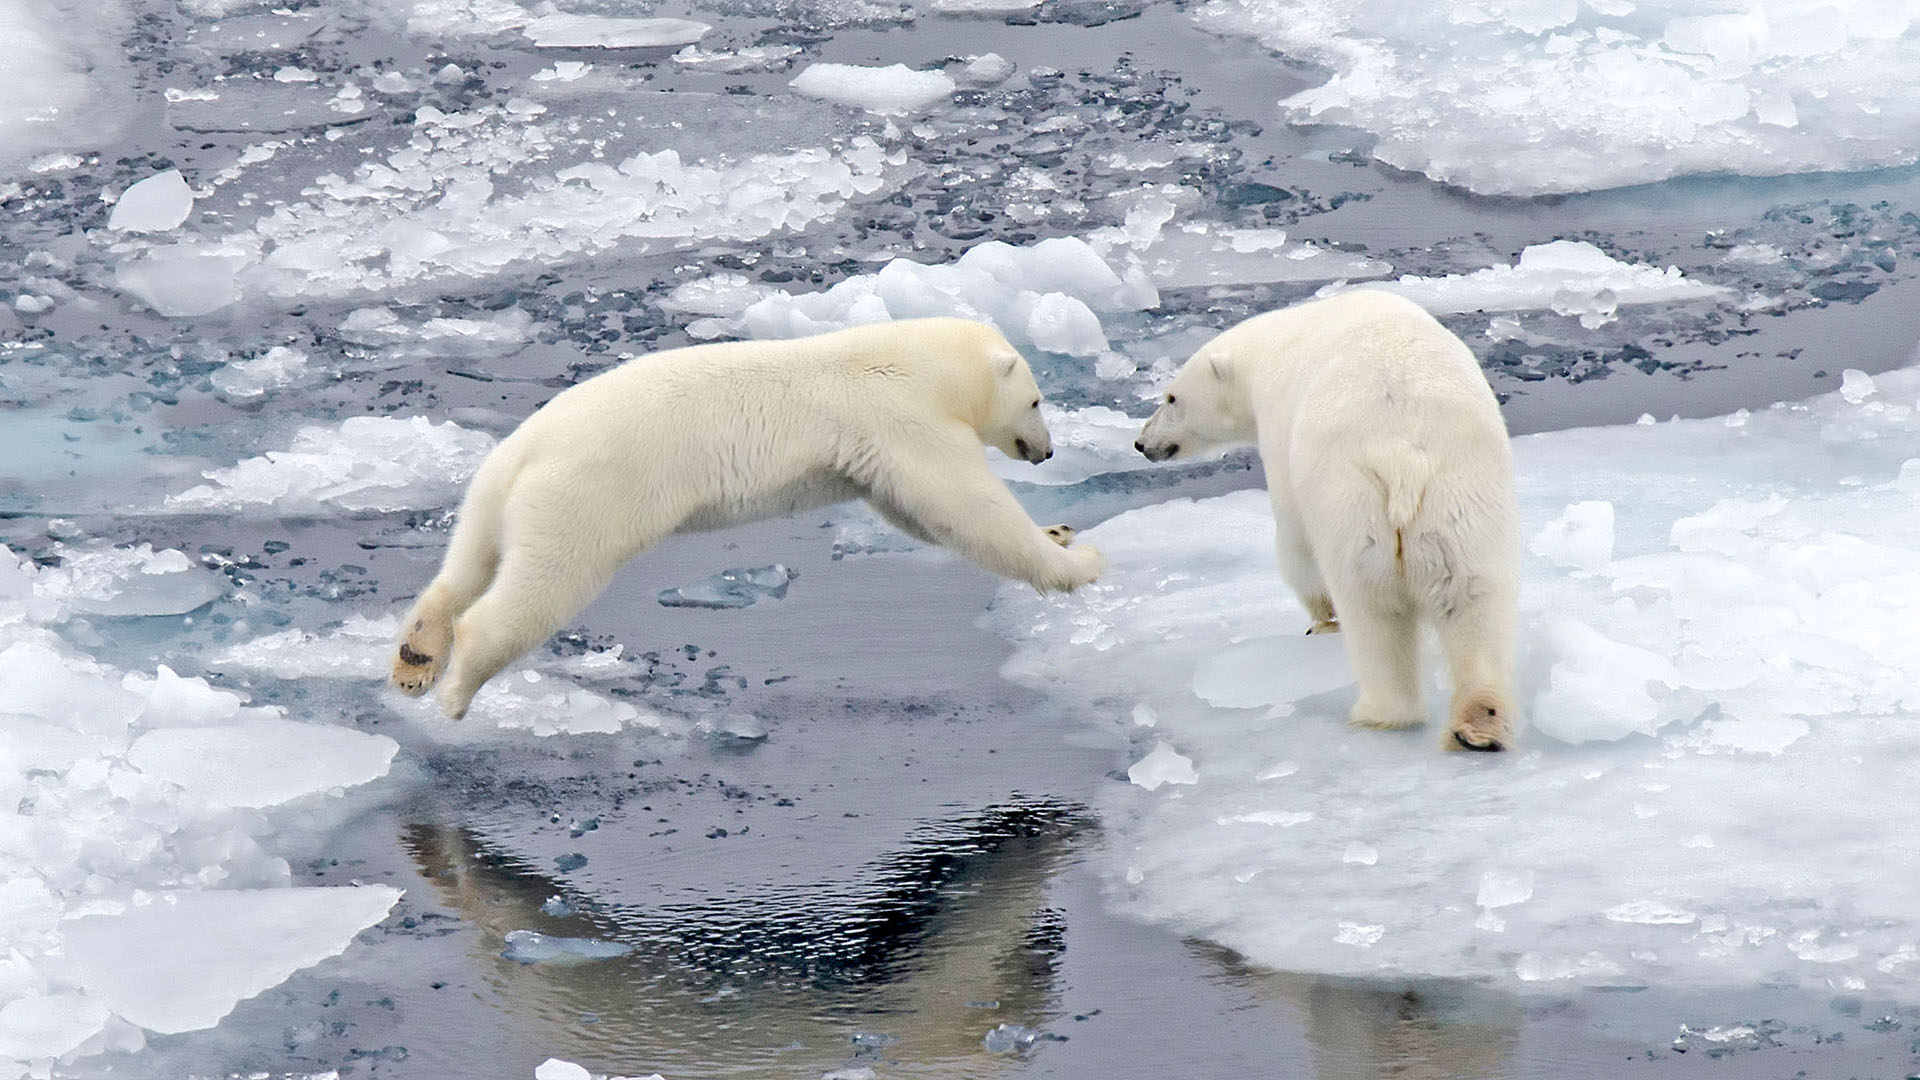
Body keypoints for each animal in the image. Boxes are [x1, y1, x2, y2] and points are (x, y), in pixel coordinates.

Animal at [391, 317, 1106, 720]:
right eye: (1036, 400)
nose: (1046, 451)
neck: (917, 364)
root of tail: (523, 451)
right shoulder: (902, 417)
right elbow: (965, 507)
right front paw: (1078, 560)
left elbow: (918, 516)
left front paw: (1060, 530)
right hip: (586, 498)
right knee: (539, 587)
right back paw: (457, 689)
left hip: (493, 495)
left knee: (467, 563)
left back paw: (416, 656)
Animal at [1134, 290, 1519, 751]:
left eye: (1171, 398)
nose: (1141, 443)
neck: (1272, 346)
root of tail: (1403, 453)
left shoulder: (1280, 427)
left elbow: (1295, 542)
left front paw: (1320, 620)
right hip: (1462, 499)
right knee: (1473, 597)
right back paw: (1479, 724)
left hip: (1353, 504)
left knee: (1372, 609)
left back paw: (1376, 711)